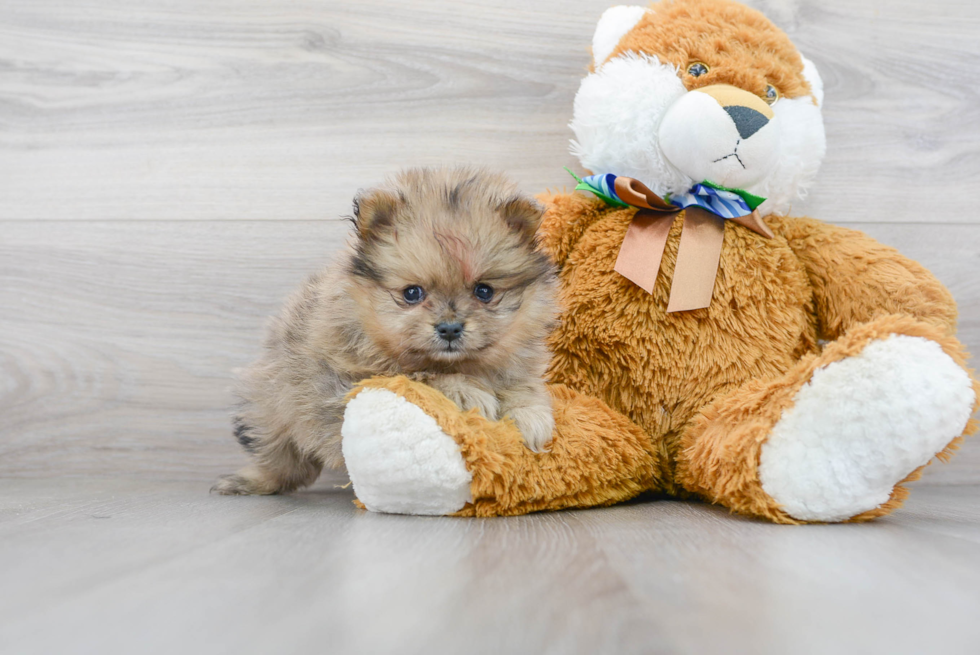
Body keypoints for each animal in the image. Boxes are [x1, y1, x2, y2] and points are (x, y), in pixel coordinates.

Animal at [214, 167, 560, 494]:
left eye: (484, 291)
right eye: (412, 293)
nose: (449, 328)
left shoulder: (514, 362)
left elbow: (522, 386)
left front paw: (530, 417)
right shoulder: (354, 379)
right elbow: (419, 375)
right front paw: (464, 390)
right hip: (272, 406)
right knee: (279, 457)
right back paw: (251, 481)